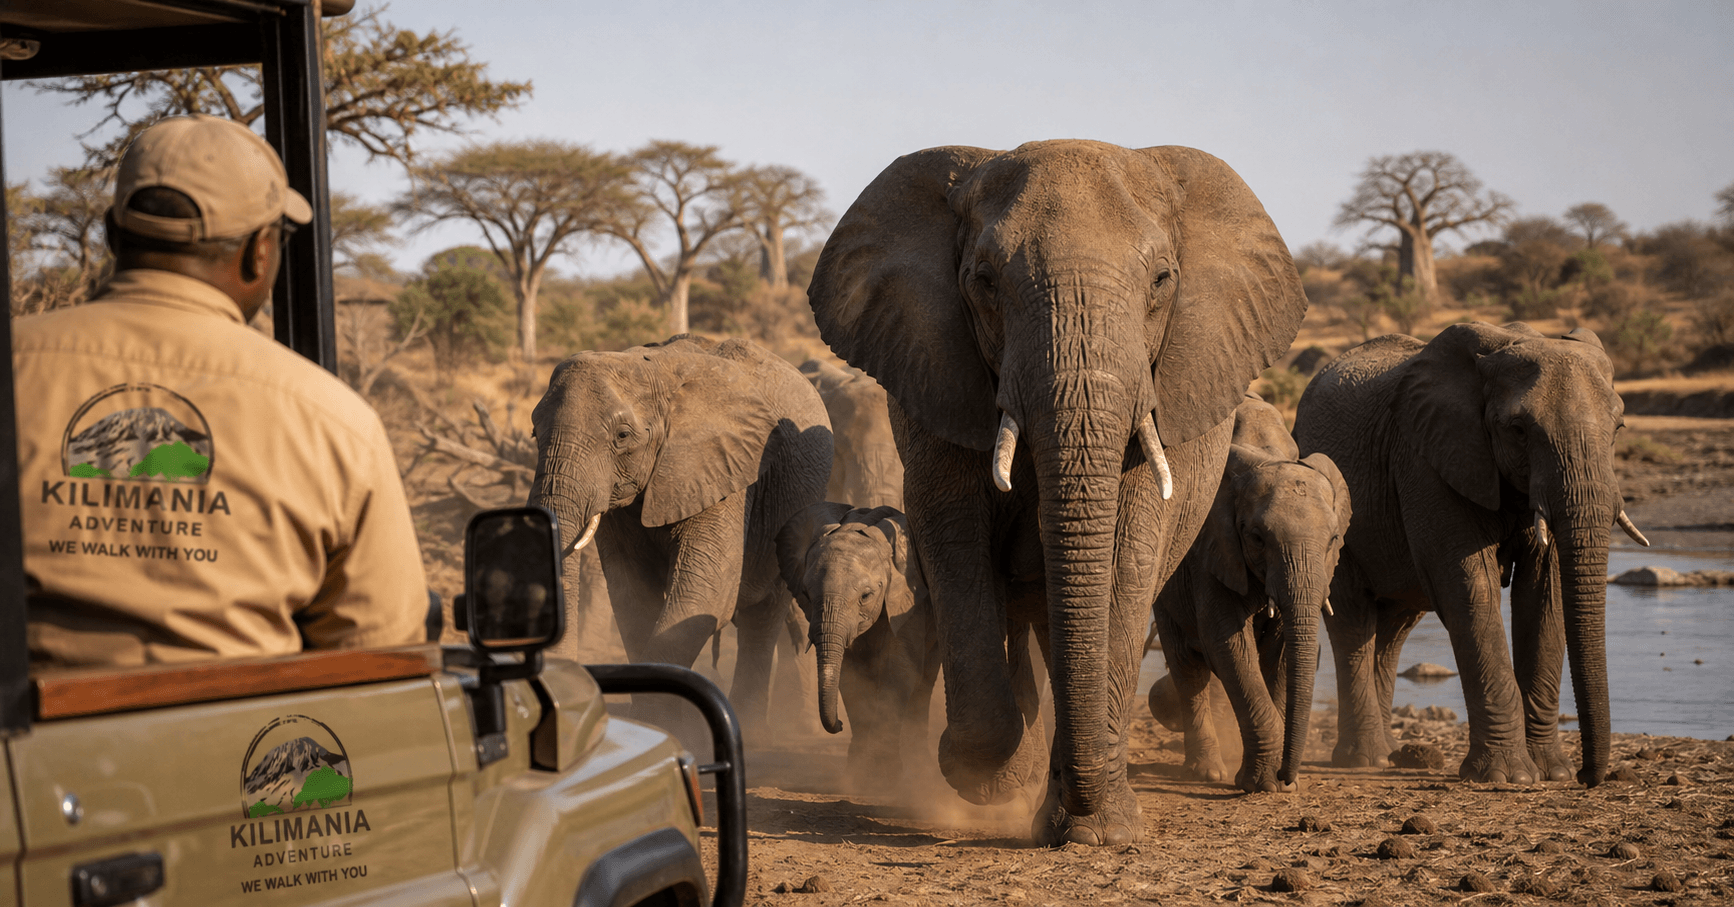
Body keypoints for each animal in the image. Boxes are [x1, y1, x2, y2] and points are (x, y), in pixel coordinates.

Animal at [526, 334, 833, 740]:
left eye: (622, 436)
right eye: (534, 433)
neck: (653, 369)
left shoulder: (727, 471)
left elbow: (705, 592)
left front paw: (660, 725)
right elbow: (632, 596)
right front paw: (656, 723)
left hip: (800, 500)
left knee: (762, 619)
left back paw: (753, 728)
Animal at [776, 502, 939, 788]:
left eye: (866, 596)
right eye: (806, 594)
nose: (838, 725)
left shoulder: (909, 605)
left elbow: (900, 672)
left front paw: (884, 776)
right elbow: (852, 677)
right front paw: (860, 774)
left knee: (924, 681)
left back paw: (920, 769)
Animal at [1150, 393, 1351, 792]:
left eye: (1333, 539)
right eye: (1257, 538)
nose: (1289, 777)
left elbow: (1282, 650)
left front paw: (1276, 782)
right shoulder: (1210, 549)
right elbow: (1229, 645)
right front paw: (1261, 783)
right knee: (1187, 665)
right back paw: (1205, 772)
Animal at [1293, 322, 1648, 787]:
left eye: (1619, 427)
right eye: (1518, 429)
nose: (1589, 776)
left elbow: (1545, 594)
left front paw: (1551, 772)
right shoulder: (1427, 459)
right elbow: (1468, 587)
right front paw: (1507, 777)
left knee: (1393, 628)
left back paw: (1387, 753)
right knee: (1355, 620)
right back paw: (1364, 760)